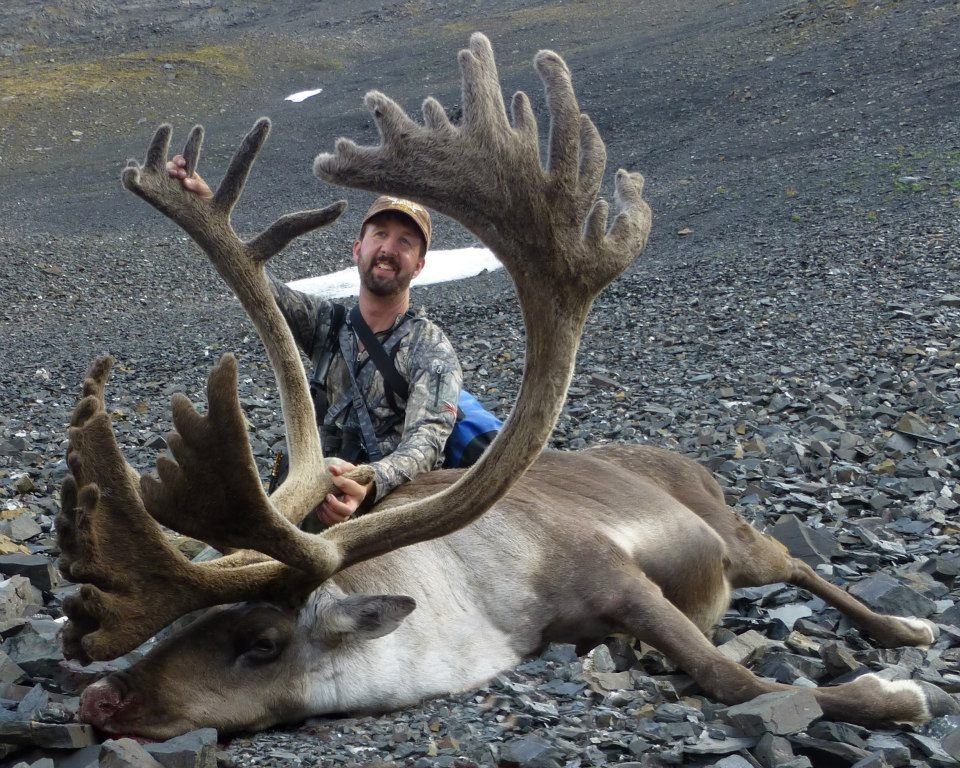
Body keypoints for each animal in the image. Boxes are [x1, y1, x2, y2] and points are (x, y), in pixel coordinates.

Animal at [56, 34, 956, 741]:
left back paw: (905, 626)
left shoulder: (614, 573)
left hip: (733, 534)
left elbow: (732, 676)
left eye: (262, 641)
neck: (478, 599)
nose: (101, 700)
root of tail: (685, 460)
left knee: (795, 564)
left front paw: (892, 697)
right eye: (184, 624)